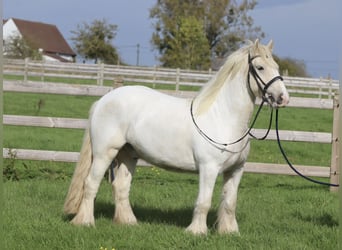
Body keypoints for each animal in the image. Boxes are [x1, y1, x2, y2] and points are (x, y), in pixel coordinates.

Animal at [63, 40, 288, 235]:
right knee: (90, 184)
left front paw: (229, 232)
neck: (222, 117)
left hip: (128, 155)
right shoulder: (209, 169)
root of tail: (103, 100)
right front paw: (197, 231)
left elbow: (230, 203)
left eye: (276, 66)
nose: (283, 98)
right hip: (104, 154)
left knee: (121, 187)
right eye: (260, 67)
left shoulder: (235, 170)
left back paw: (128, 222)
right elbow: (204, 201)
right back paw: (85, 222)